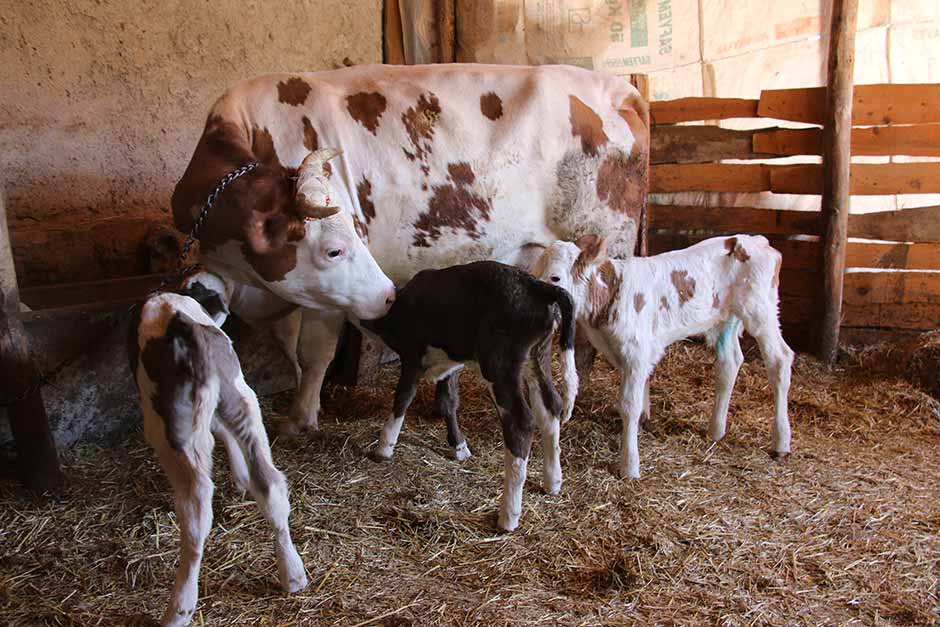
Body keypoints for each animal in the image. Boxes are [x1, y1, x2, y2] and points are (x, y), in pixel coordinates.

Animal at [129, 284, 308, 627]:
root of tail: (182, 321)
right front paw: (239, 478)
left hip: (169, 428)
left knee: (196, 508)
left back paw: (179, 608)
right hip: (243, 399)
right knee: (270, 482)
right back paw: (292, 574)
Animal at [173, 63, 648, 436]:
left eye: (339, 247)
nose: (387, 294)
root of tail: (617, 86)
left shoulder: (325, 293)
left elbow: (314, 350)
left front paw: (301, 418)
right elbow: (290, 346)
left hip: (603, 246)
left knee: (595, 337)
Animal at [362, 262, 576, 532]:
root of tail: (537, 285)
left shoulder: (413, 354)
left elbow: (403, 396)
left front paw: (384, 447)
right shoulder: (450, 364)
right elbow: (448, 402)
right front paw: (460, 447)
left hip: (499, 365)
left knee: (521, 423)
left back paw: (508, 516)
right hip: (537, 357)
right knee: (550, 408)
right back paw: (553, 482)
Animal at [536, 233, 792, 478]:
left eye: (555, 277)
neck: (611, 293)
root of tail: (755, 240)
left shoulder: (635, 352)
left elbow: (629, 404)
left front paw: (629, 465)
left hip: (760, 311)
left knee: (780, 359)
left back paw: (781, 442)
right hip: (727, 317)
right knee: (729, 363)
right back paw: (716, 430)